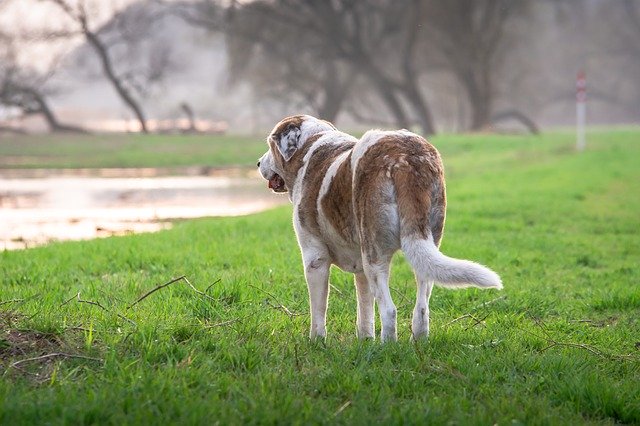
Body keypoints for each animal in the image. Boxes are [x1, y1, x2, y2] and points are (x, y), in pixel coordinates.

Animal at [258, 115, 502, 342]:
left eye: (270, 144)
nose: (258, 163)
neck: (310, 145)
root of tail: (406, 158)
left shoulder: (315, 260)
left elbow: (318, 311)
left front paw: (316, 343)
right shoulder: (360, 269)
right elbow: (365, 310)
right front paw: (365, 340)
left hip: (375, 258)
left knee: (389, 310)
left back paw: (388, 347)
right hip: (422, 247)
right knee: (422, 308)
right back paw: (417, 343)